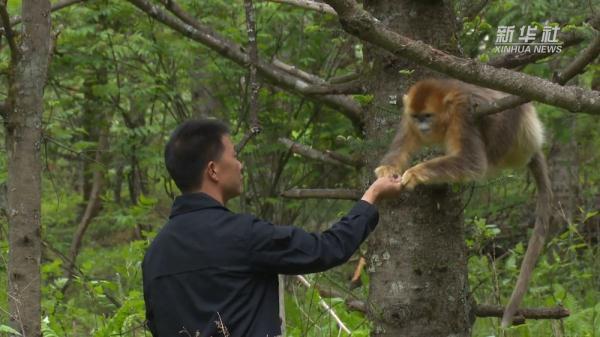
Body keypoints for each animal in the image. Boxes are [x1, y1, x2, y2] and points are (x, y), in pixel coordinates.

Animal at [376, 78, 552, 326]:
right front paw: (386, 171)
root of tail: (533, 143)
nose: (422, 127)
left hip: (512, 138)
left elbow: (472, 162)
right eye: (417, 117)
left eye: (427, 116)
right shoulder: (408, 120)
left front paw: (415, 173)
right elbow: (399, 150)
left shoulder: (463, 115)